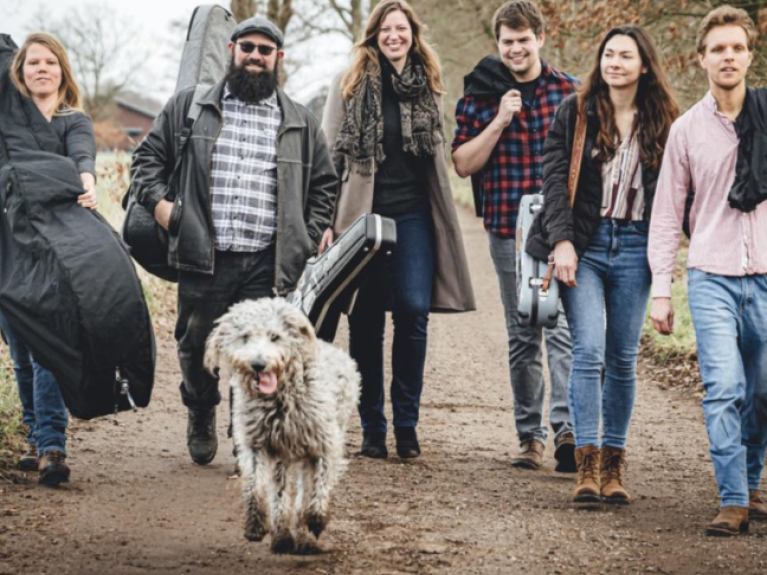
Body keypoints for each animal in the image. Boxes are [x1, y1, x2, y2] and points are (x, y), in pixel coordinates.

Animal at [204, 296, 360, 552]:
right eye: (245, 336)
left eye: (275, 336)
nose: (258, 364)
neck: (278, 400)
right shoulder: (257, 445)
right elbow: (256, 486)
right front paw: (255, 525)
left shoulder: (323, 445)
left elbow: (318, 485)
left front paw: (315, 519)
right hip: (283, 455)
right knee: (281, 490)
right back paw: (283, 536)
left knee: (304, 489)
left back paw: (303, 531)